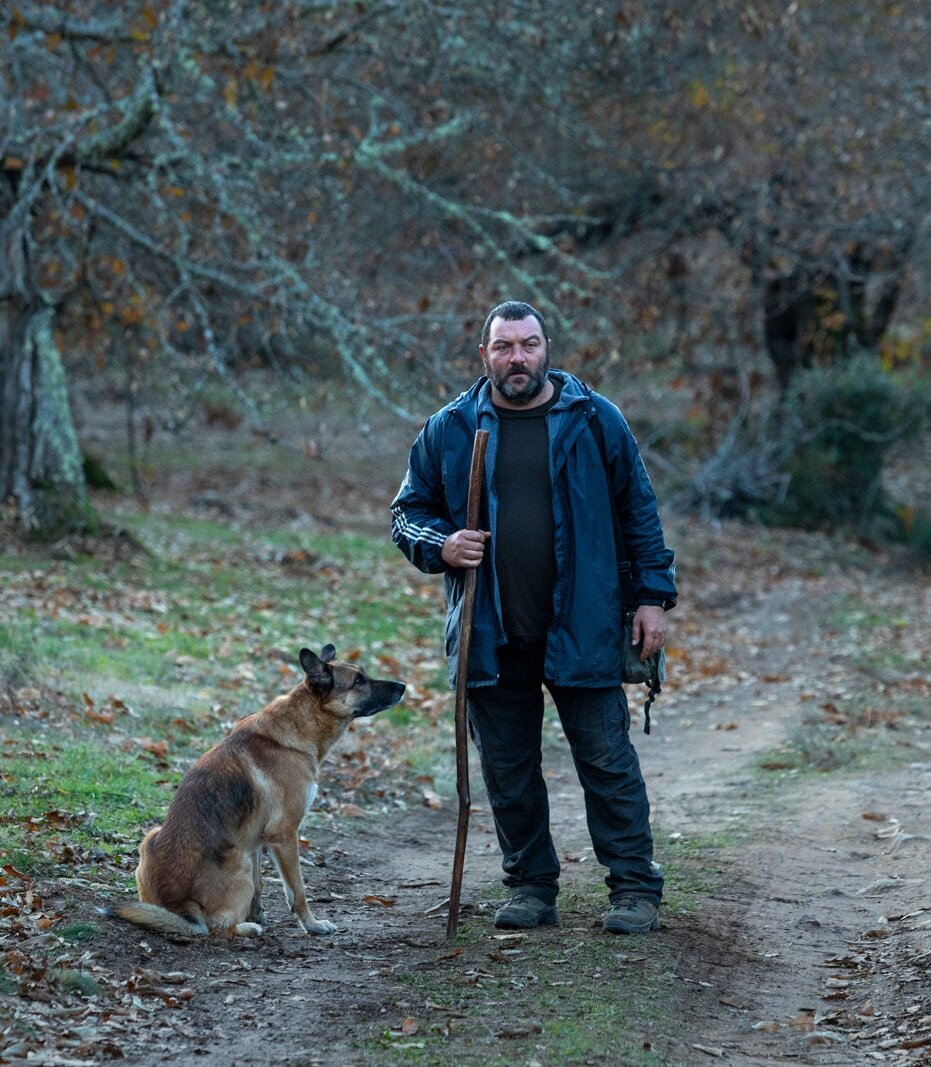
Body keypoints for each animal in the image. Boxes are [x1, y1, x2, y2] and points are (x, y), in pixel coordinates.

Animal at [104, 644, 403, 938]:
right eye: (358, 681)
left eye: (363, 674)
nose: (403, 686)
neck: (301, 725)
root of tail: (181, 906)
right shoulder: (284, 834)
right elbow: (297, 891)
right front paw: (312, 925)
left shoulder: (257, 840)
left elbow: (260, 886)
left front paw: (257, 913)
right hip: (239, 860)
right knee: (217, 928)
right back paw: (247, 928)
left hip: (158, 838)